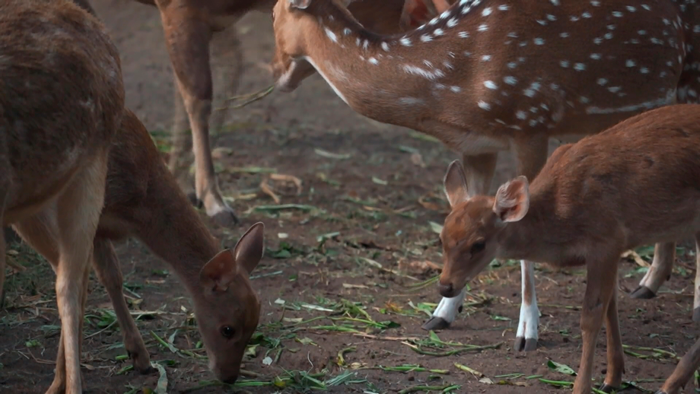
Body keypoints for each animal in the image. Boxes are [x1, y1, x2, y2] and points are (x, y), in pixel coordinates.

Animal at [68, 0, 452, 229]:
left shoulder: (212, 19)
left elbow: (215, 81)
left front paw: (179, 177)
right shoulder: (180, 8)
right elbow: (198, 95)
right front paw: (214, 199)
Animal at [268, 0, 700, 350]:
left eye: (273, 13)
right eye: (441, 241)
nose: (274, 73)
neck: (452, 84)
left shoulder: (532, 122)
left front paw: (527, 333)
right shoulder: (477, 144)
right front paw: (441, 313)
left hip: (692, 82)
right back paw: (648, 284)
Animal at [434, 102, 700, 394]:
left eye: (479, 244)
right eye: (441, 238)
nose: (445, 285)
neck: (560, 216)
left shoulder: (606, 239)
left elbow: (591, 317)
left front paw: (581, 386)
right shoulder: (613, 249)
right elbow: (611, 308)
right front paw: (613, 376)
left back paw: (670, 384)